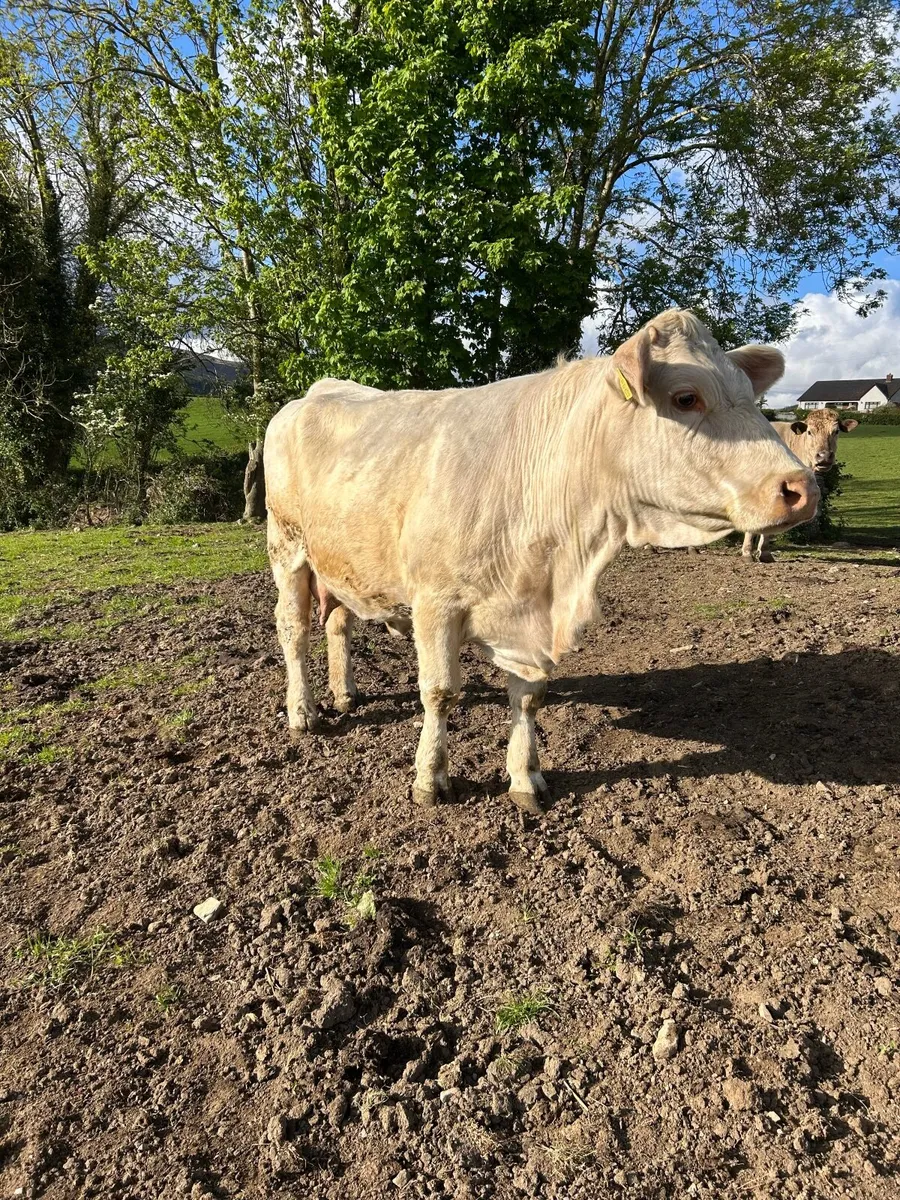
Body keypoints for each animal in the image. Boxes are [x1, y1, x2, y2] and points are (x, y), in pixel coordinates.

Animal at [264, 309, 817, 815]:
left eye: (749, 394)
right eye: (686, 397)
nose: (803, 488)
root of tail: (315, 392)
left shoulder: (531, 611)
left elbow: (528, 698)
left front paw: (525, 777)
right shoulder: (435, 602)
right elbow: (440, 693)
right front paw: (429, 779)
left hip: (342, 560)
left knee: (338, 622)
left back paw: (345, 692)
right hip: (286, 546)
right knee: (293, 630)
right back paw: (303, 712)